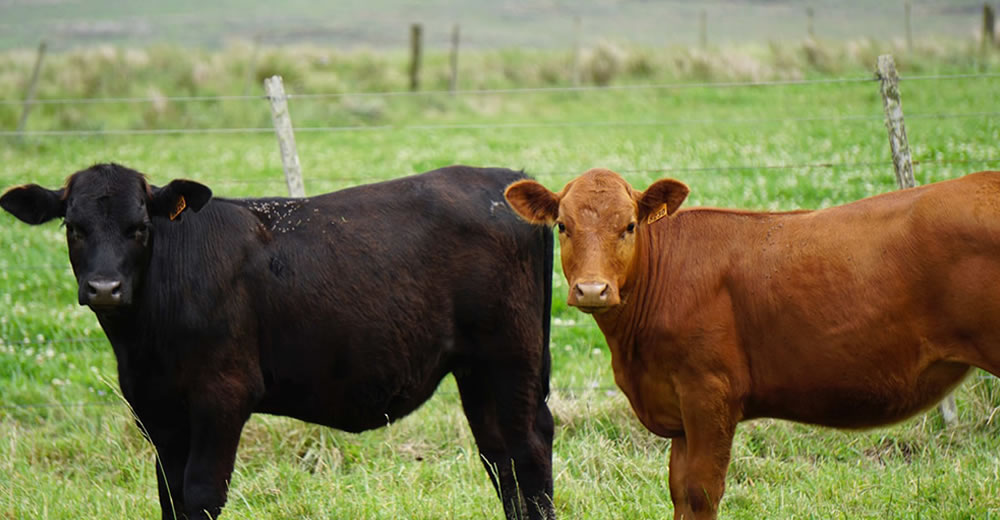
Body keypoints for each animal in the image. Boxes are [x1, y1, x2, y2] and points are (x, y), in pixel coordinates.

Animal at [504, 169, 1000, 516]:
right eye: (563, 226)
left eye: (628, 226)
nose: (592, 290)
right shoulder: (680, 411)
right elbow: (679, 491)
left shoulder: (709, 394)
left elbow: (702, 493)